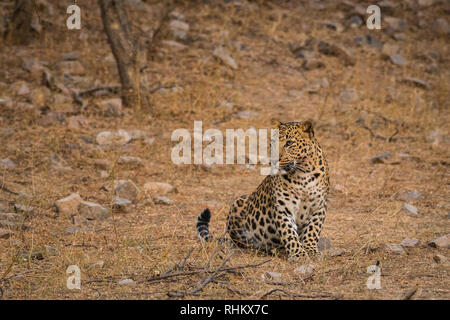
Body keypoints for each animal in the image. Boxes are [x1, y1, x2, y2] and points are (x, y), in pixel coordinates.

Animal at [197, 120, 330, 260]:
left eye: (289, 143)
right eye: (272, 143)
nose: (274, 160)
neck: (302, 174)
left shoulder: (319, 206)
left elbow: (312, 230)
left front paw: (311, 251)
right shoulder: (283, 208)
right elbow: (289, 233)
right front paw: (298, 254)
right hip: (238, 203)